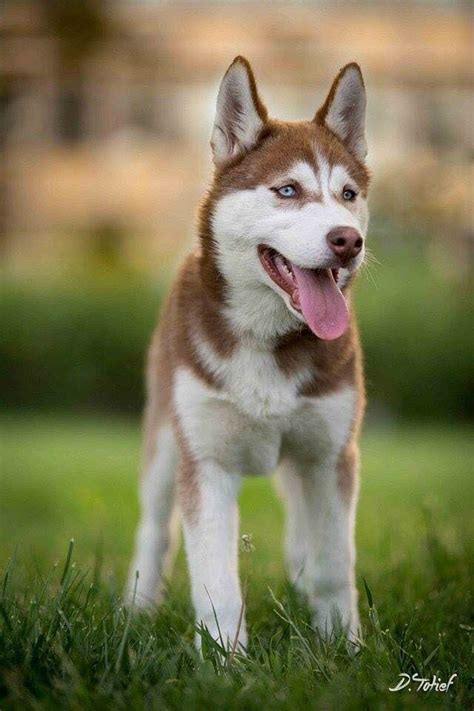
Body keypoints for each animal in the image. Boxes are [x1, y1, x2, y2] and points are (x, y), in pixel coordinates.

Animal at [127, 58, 370, 652]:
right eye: (287, 189)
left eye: (348, 194)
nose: (347, 240)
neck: (268, 337)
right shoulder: (206, 461)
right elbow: (216, 581)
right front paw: (225, 659)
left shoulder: (330, 454)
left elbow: (335, 563)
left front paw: (345, 647)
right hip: (164, 439)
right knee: (154, 529)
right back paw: (135, 609)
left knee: (302, 524)